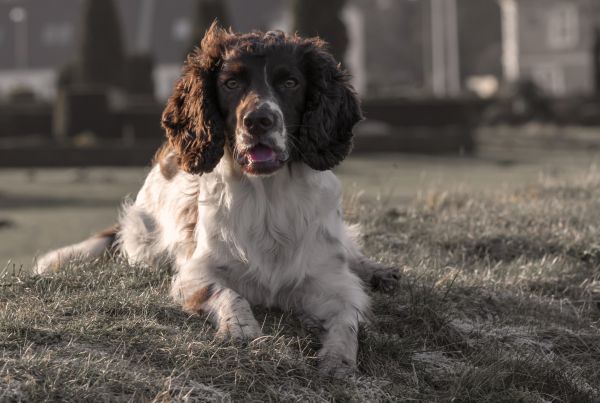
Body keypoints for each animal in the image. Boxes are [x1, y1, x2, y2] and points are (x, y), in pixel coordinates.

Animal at [34, 25, 398, 378]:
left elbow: (347, 319)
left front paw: (338, 360)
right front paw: (240, 328)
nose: (258, 120)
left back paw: (379, 271)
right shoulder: (194, 274)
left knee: (353, 251)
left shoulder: (333, 282)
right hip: (144, 244)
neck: (268, 197)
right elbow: (228, 294)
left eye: (291, 82)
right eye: (231, 83)